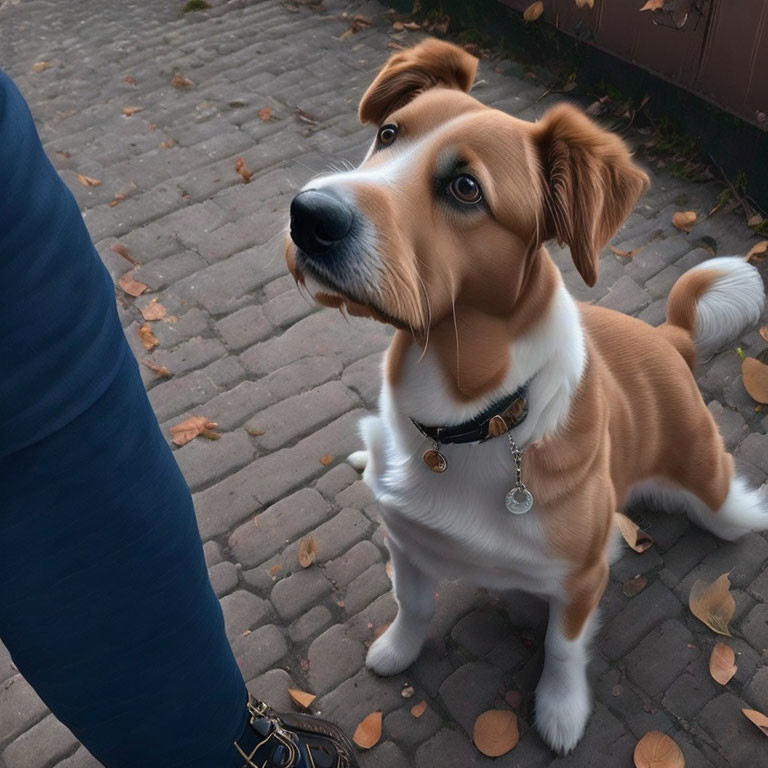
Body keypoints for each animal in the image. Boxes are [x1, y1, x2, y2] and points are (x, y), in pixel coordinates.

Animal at [284, 40, 768, 752]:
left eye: (466, 188)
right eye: (388, 134)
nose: (308, 214)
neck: (464, 420)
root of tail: (669, 339)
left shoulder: (581, 578)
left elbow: (563, 648)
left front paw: (561, 710)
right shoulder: (406, 541)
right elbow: (411, 603)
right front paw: (398, 650)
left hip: (709, 485)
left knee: (729, 507)